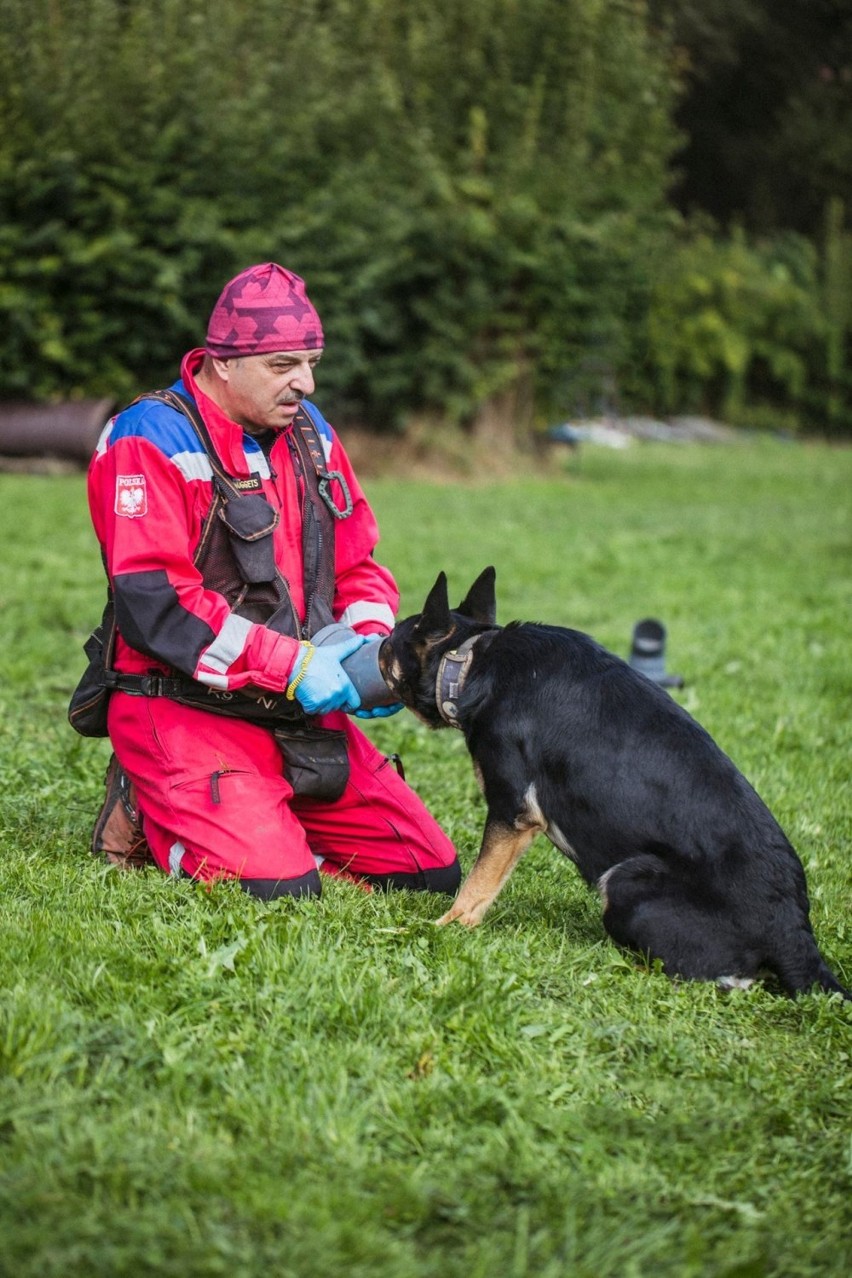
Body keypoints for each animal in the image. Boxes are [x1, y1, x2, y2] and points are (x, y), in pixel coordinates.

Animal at [380, 569, 852, 996]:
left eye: (391, 641)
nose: (375, 642)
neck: (471, 658)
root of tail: (794, 936)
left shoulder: (513, 811)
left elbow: (477, 886)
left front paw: (443, 927)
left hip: (626, 878)